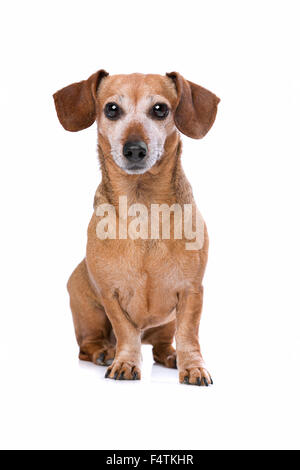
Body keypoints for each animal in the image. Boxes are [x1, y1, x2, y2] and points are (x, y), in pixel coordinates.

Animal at [52, 70, 219, 386]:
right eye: (111, 109)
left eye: (160, 109)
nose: (134, 150)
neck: (144, 208)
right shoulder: (110, 296)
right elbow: (126, 332)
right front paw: (126, 362)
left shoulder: (191, 293)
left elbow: (189, 334)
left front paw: (193, 366)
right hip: (90, 314)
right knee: (87, 346)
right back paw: (105, 352)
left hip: (165, 324)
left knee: (162, 345)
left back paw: (171, 356)